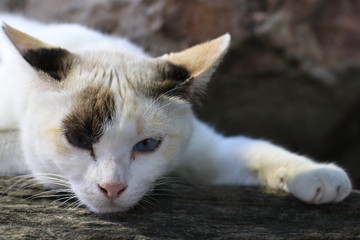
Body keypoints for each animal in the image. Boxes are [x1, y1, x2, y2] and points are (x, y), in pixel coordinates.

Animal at [0, 14, 352, 213]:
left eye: (147, 145)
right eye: (76, 139)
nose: (112, 188)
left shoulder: (204, 150)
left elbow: (250, 149)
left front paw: (316, 174)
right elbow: (27, 152)